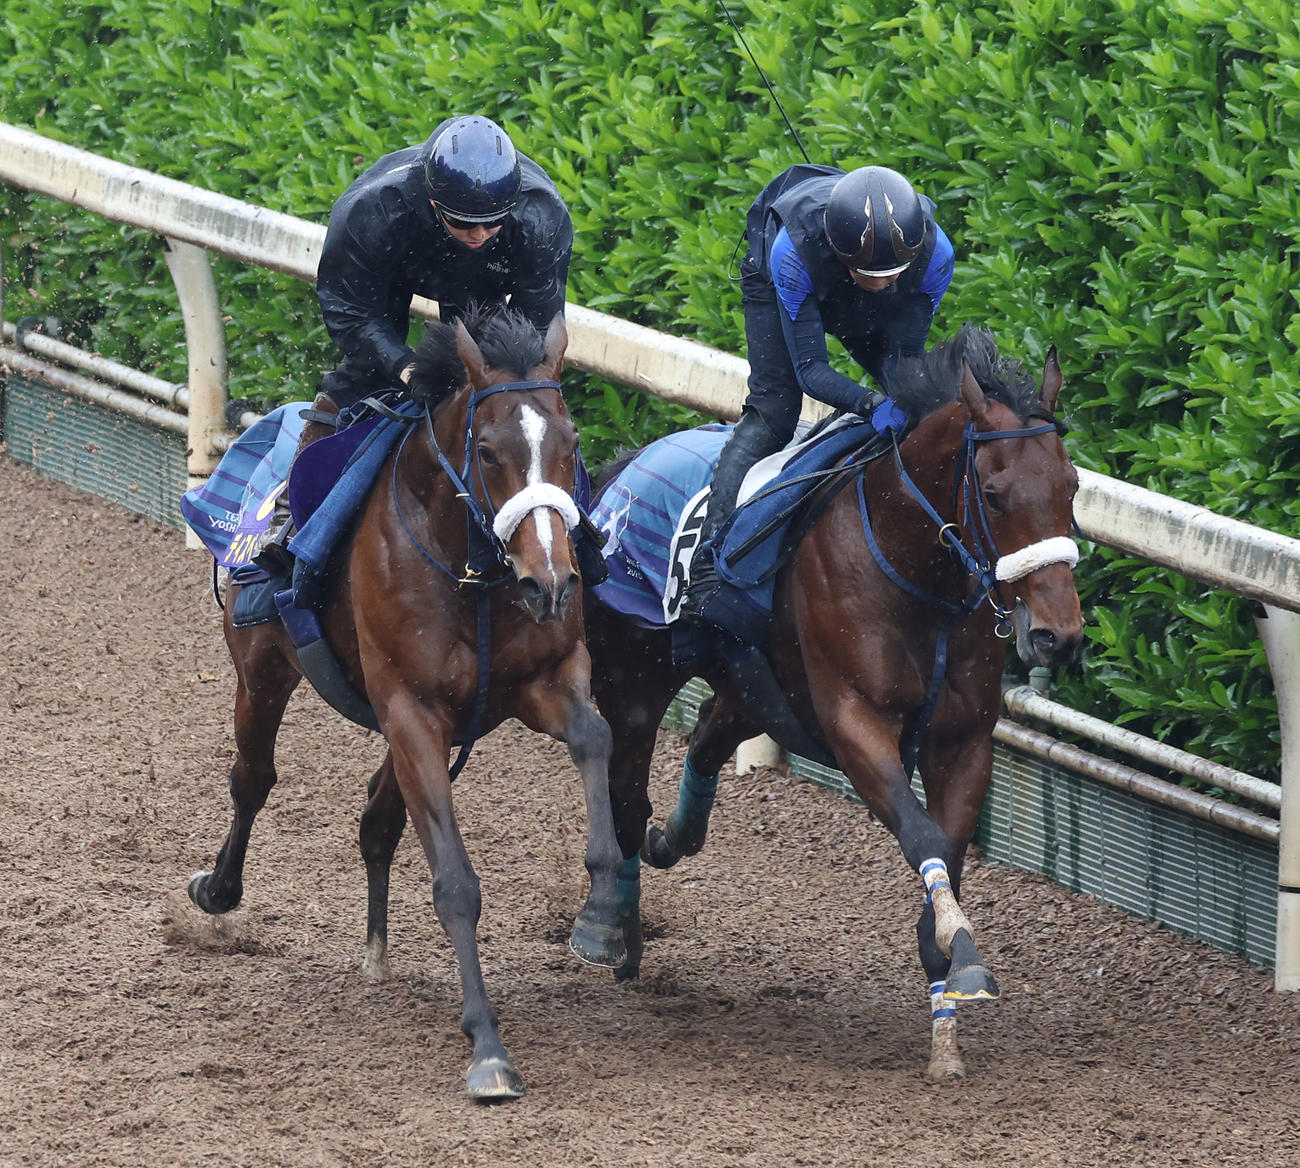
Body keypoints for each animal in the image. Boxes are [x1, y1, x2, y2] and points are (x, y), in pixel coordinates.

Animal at [186, 307, 625, 1101]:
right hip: (263, 666)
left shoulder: (542, 680)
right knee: (253, 777)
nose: (552, 582)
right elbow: (454, 883)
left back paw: (376, 949)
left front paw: (602, 918)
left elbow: (595, 739)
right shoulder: (412, 709)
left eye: (571, 444)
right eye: (487, 451)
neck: (471, 570)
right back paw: (219, 888)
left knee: (375, 817)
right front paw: (487, 1047)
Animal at [584, 325, 1084, 1081]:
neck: (918, 578)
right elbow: (924, 838)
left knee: (703, 739)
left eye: (1071, 486)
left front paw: (949, 1010)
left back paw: (670, 842)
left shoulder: (962, 743)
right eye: (995, 495)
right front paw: (963, 959)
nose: (1059, 634)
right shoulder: (855, 725)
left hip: (752, 686)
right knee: (624, 794)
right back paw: (612, 932)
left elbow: (947, 859)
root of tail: (625, 469)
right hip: (635, 679)